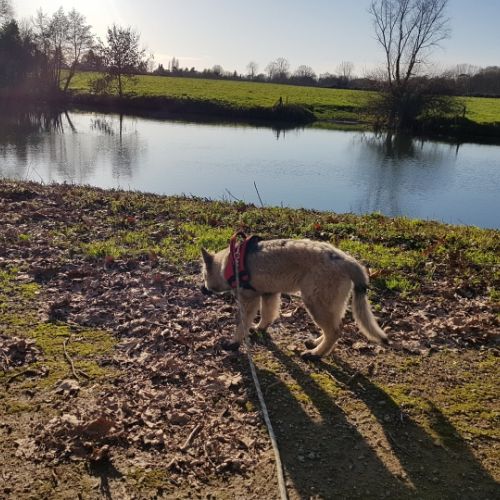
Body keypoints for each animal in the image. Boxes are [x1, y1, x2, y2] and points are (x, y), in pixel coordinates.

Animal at [201, 238, 387, 359]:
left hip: (315, 302)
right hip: (331, 303)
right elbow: (267, 314)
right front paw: (260, 328)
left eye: (204, 275)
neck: (230, 262)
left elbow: (242, 323)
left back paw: (316, 354)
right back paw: (316, 343)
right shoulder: (269, 294)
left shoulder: (249, 299)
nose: (202, 289)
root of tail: (347, 261)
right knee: (336, 327)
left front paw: (234, 343)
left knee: (334, 332)